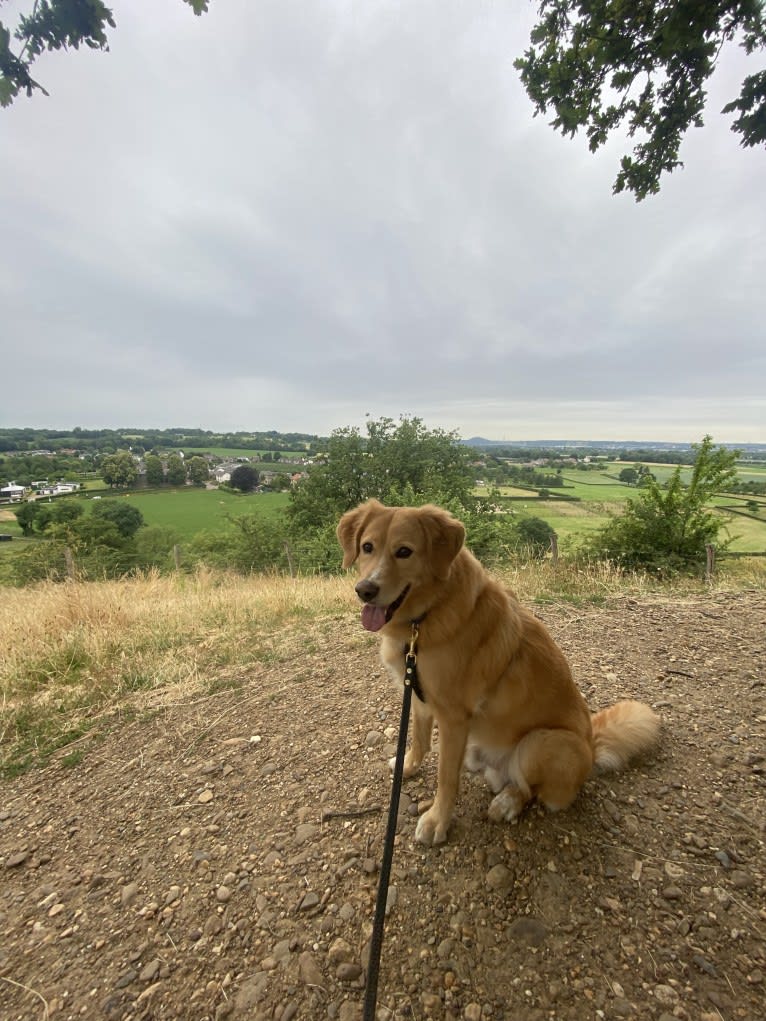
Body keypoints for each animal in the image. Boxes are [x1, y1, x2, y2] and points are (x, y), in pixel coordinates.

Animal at [339, 502, 661, 845]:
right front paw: (408, 766)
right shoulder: (419, 696)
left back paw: (508, 803)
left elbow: (446, 778)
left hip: (541, 744)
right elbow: (420, 739)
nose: (365, 590)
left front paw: (438, 821)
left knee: (528, 789)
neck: (424, 618)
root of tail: (591, 745)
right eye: (367, 547)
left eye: (404, 551)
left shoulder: (453, 717)